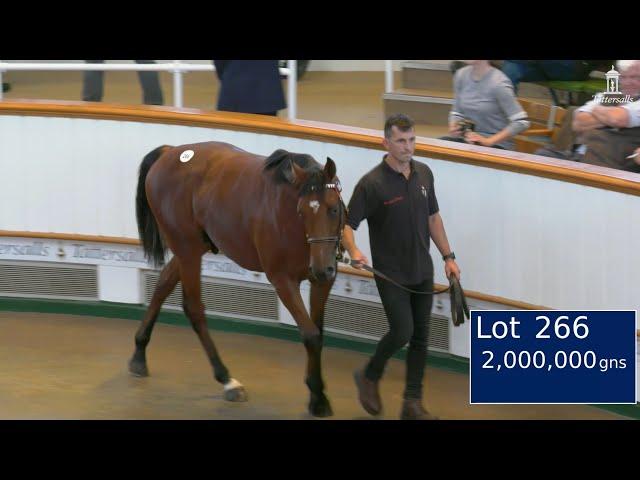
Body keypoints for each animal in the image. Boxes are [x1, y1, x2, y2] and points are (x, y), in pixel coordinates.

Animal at [129, 140, 344, 416]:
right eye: (302, 212)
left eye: (334, 209)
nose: (320, 268)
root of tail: (171, 151)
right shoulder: (283, 280)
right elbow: (310, 335)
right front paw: (317, 397)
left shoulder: (323, 282)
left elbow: (318, 331)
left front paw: (317, 392)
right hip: (187, 249)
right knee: (193, 308)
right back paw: (226, 379)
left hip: (192, 248)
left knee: (163, 284)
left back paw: (139, 353)